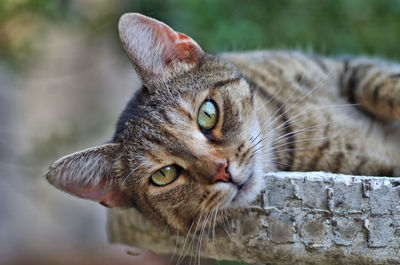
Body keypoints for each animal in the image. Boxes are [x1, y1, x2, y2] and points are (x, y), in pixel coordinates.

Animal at [45, 12, 400, 231]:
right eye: (164, 175)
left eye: (208, 114)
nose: (222, 170)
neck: (289, 124)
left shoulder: (347, 67)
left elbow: (382, 85)